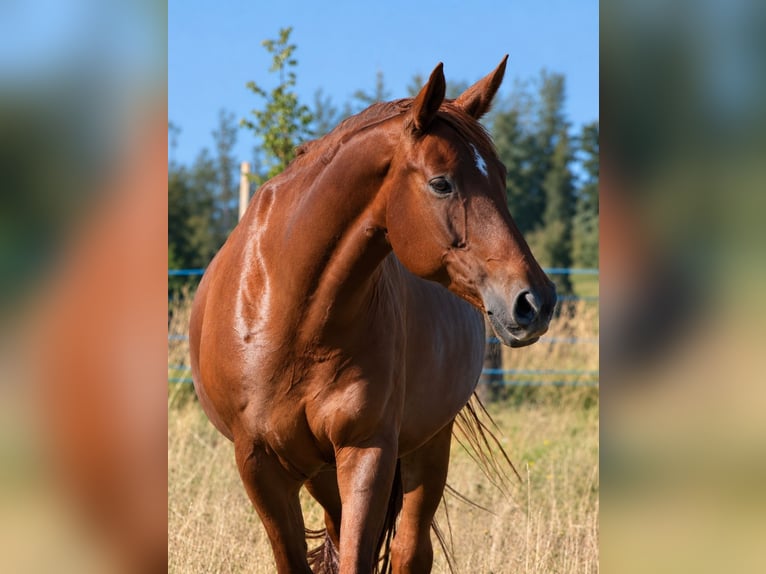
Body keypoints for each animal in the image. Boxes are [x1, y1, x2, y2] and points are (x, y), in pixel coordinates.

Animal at [189, 56, 556, 574]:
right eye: (441, 182)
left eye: (502, 178)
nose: (535, 301)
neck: (292, 316)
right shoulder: (259, 464)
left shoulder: (368, 450)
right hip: (320, 470)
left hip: (427, 445)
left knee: (409, 550)